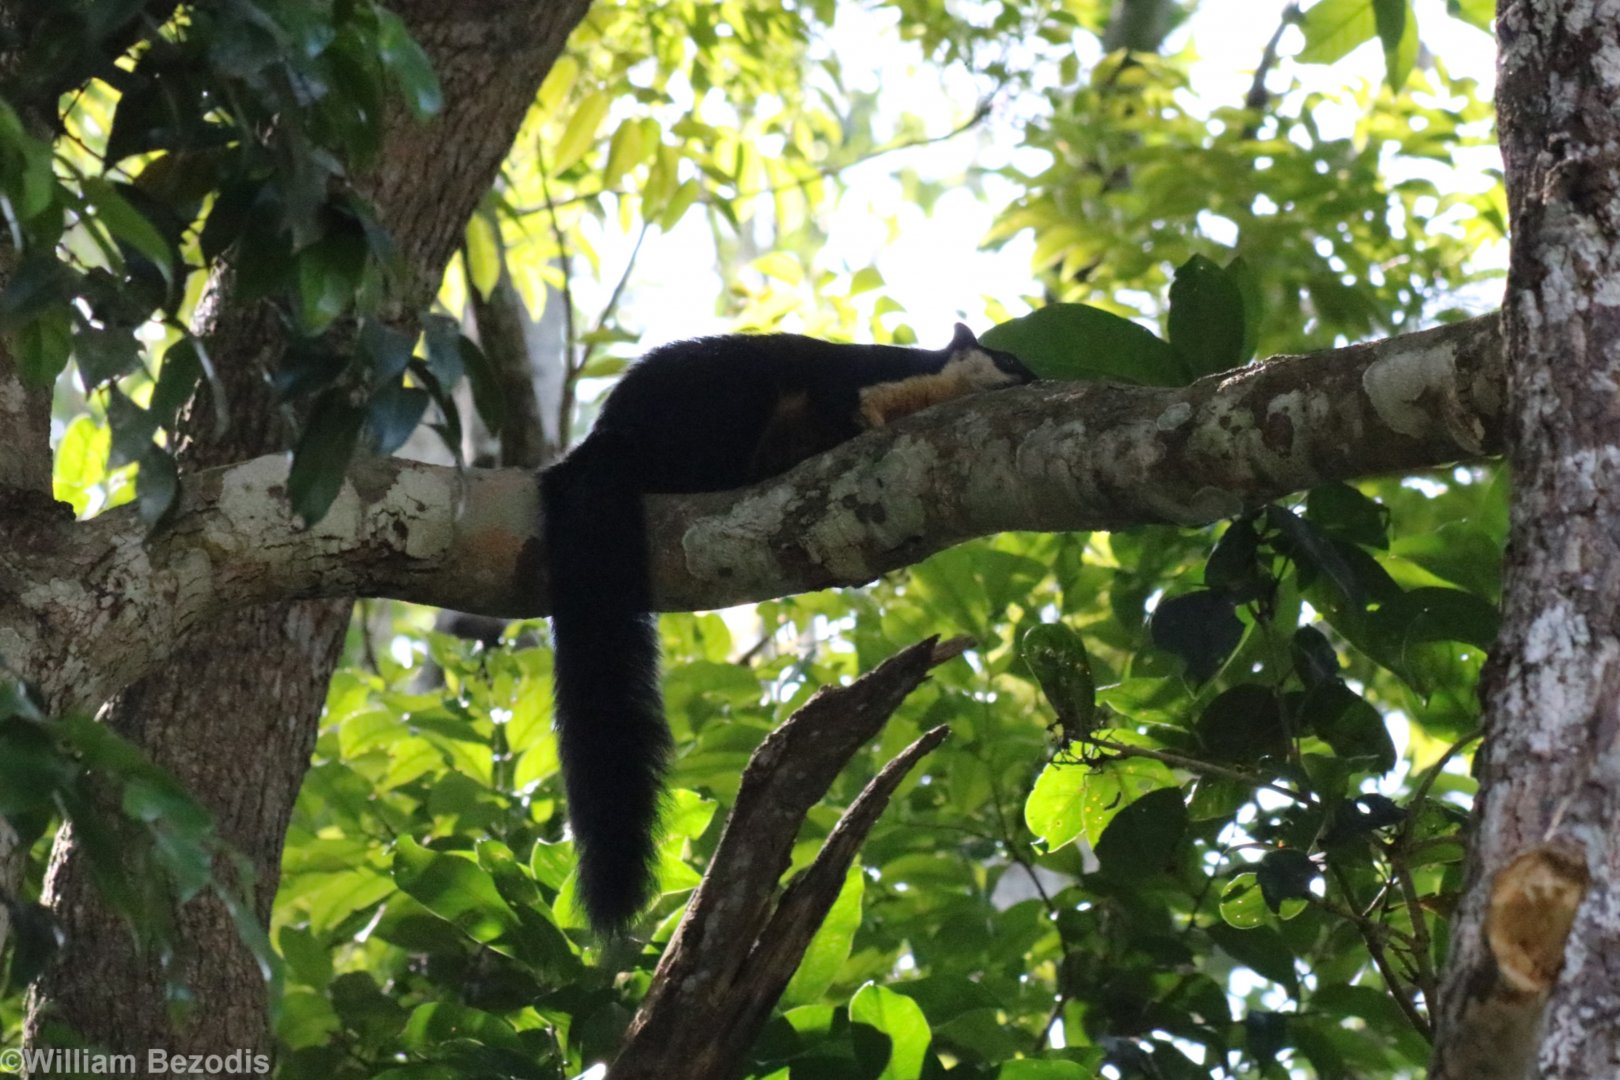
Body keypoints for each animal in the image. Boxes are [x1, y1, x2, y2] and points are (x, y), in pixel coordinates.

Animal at [539, 323, 1034, 933]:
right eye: (1008, 358)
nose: (1037, 380)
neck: (918, 394)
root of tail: (607, 436)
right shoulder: (851, 381)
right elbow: (842, 408)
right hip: (723, 400)